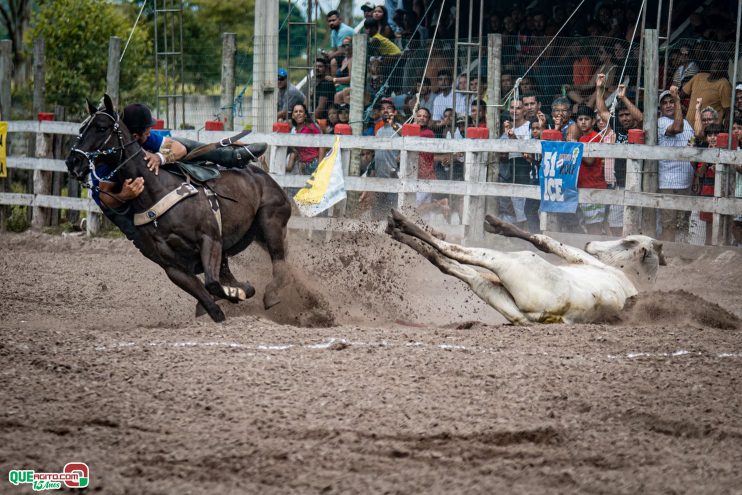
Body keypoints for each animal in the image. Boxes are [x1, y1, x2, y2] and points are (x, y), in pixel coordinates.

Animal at [66, 95, 294, 324]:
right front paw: (236, 294)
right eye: (82, 128)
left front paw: (240, 291)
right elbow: (210, 301)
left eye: (101, 128)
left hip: (271, 223)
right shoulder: (174, 268)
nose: (72, 161)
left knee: (280, 264)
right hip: (253, 234)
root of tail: (261, 174)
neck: (156, 192)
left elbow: (212, 284)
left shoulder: (210, 239)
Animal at [390, 209, 668, 326]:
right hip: (493, 291)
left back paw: (401, 225)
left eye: (627, 241)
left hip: (511, 261)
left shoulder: (585, 259)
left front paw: (499, 225)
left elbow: (545, 240)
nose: (590, 243)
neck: (629, 278)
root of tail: (549, 314)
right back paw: (402, 233)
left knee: (455, 252)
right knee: (450, 265)